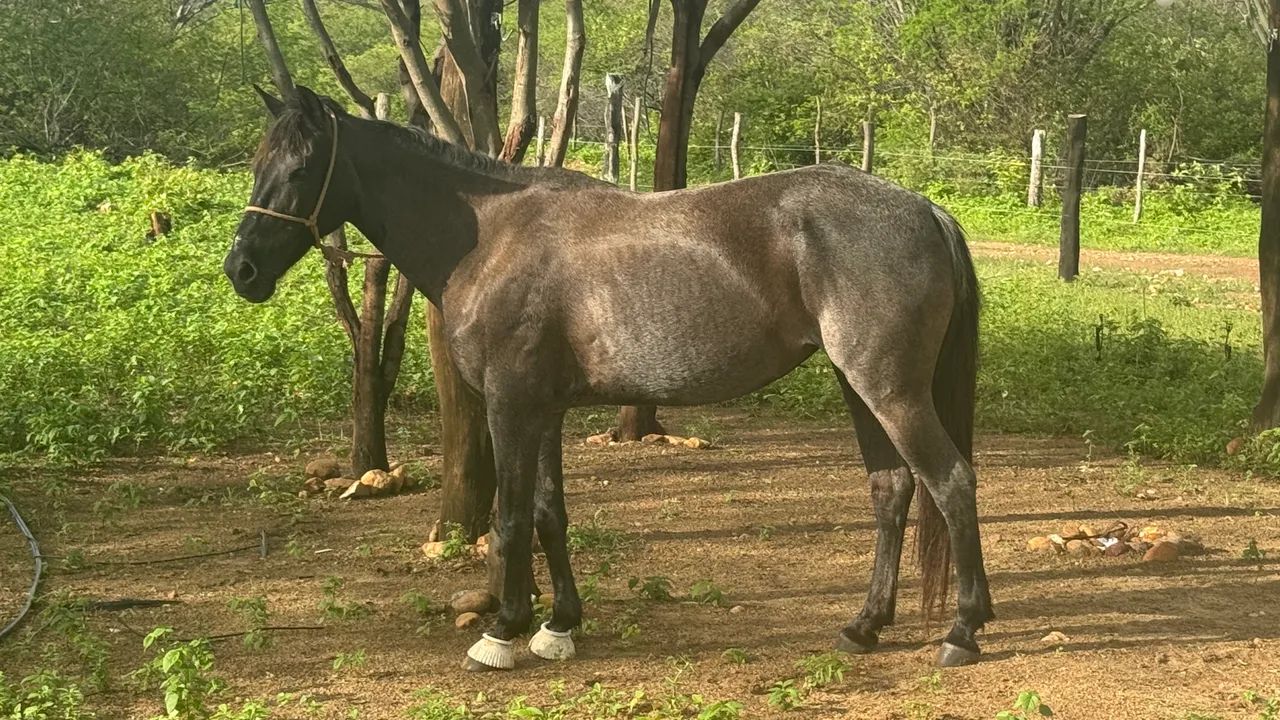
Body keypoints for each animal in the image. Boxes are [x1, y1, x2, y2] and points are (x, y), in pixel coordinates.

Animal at [225, 86, 993, 672]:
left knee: (950, 482)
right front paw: (558, 625)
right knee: (891, 490)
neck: (491, 235)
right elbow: (548, 514)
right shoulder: (544, 409)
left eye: (301, 168)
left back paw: (962, 631)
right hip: (857, 385)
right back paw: (864, 626)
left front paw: (502, 631)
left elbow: (508, 517)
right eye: (259, 161)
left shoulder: (509, 405)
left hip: (889, 390)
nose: (242, 270)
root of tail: (924, 209)